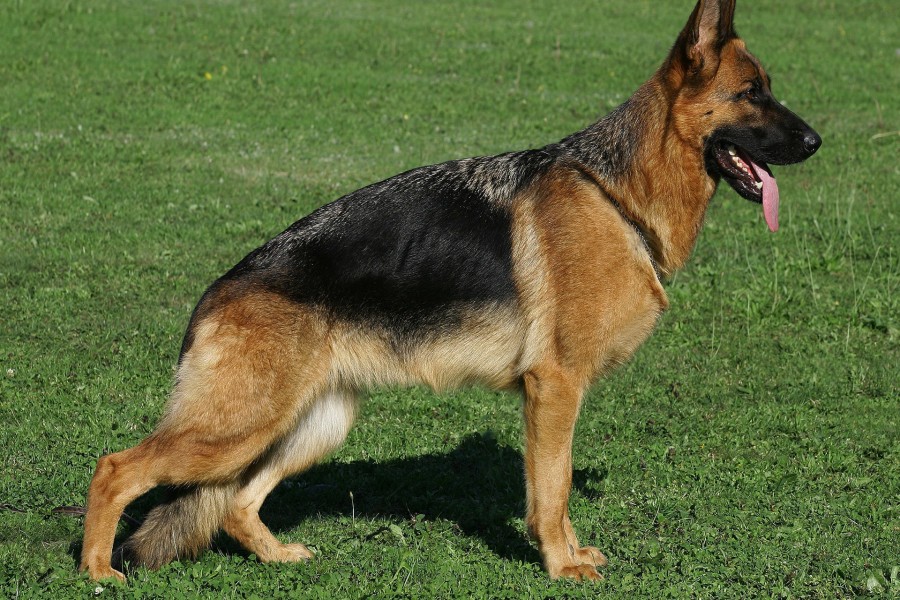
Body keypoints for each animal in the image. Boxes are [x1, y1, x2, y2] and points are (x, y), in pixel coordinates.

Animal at [82, 0, 824, 580]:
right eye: (751, 93)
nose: (818, 140)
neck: (617, 196)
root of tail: (215, 294)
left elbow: (553, 488)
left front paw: (569, 554)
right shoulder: (555, 389)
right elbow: (552, 489)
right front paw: (561, 563)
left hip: (310, 424)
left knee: (235, 503)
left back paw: (277, 557)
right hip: (235, 427)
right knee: (115, 467)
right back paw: (96, 571)